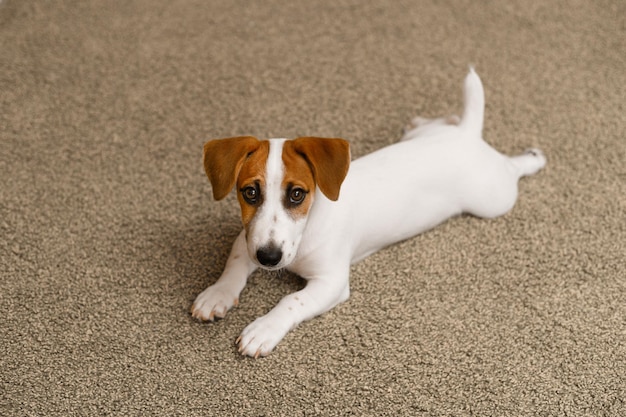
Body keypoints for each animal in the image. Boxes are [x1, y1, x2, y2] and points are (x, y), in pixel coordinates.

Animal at [191, 69, 544, 358]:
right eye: (250, 192)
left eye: (297, 194)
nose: (268, 258)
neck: (308, 228)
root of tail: (468, 136)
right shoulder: (248, 237)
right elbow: (235, 264)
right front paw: (217, 294)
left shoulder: (331, 282)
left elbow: (290, 301)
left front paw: (263, 328)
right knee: (445, 122)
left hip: (495, 199)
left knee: (512, 169)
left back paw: (532, 159)